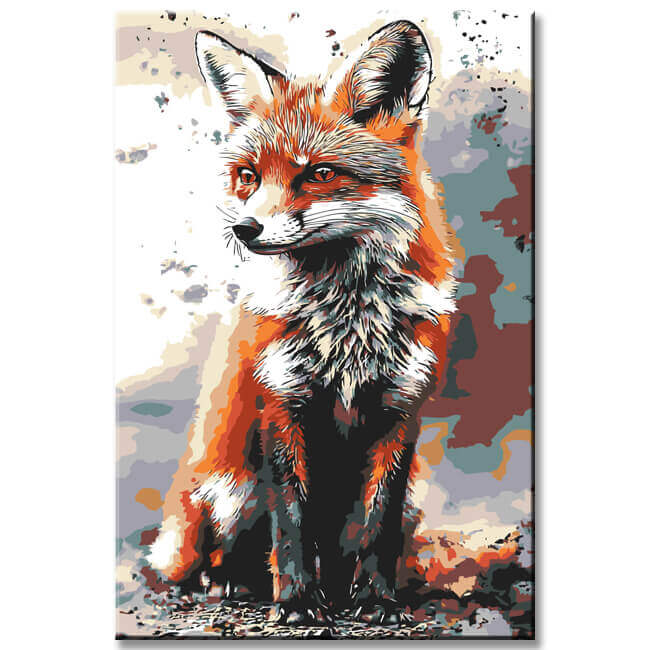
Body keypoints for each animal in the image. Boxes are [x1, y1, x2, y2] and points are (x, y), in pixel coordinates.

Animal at [148, 20, 458, 625]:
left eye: (319, 174)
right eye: (248, 176)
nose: (245, 229)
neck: (348, 320)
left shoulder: (401, 410)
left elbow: (378, 524)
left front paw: (377, 599)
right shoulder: (282, 403)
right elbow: (290, 522)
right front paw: (295, 603)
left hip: (414, 497)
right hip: (229, 490)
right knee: (216, 554)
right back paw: (233, 583)